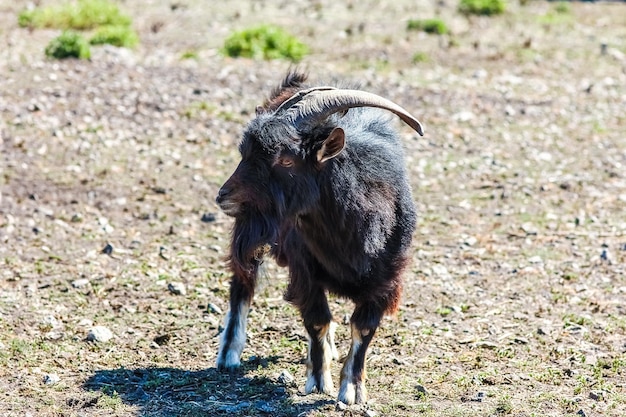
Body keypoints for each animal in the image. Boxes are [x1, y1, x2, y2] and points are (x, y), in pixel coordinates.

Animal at [214, 71, 424, 404]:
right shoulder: (305, 269)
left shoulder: (388, 277)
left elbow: (363, 329)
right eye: (244, 154)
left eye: (286, 161)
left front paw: (352, 389)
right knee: (242, 282)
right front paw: (318, 379)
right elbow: (316, 319)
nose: (223, 197)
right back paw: (228, 355)